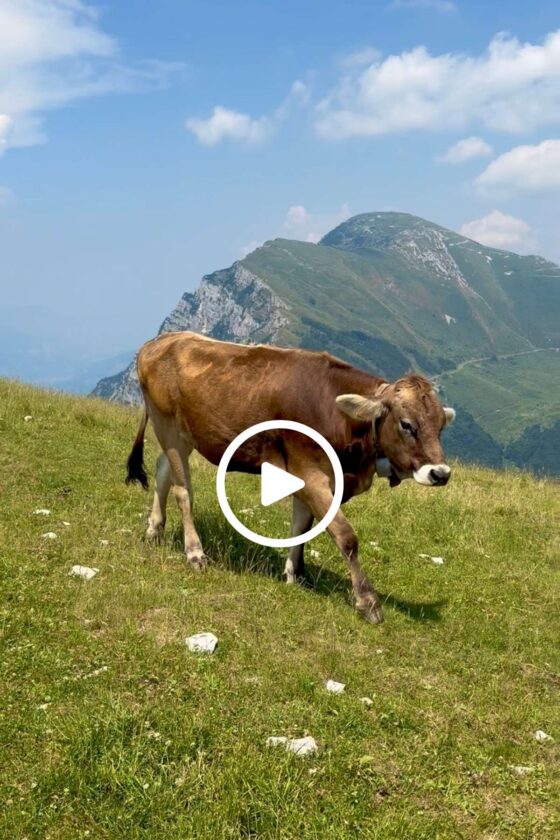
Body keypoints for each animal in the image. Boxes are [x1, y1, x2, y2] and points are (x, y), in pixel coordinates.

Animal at [126, 331, 455, 624]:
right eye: (407, 424)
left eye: (441, 425)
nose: (440, 473)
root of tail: (161, 340)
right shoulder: (310, 472)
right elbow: (346, 536)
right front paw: (367, 601)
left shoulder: (314, 478)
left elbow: (302, 527)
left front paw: (294, 574)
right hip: (168, 426)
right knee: (183, 489)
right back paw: (194, 552)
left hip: (185, 434)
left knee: (163, 470)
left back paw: (154, 529)